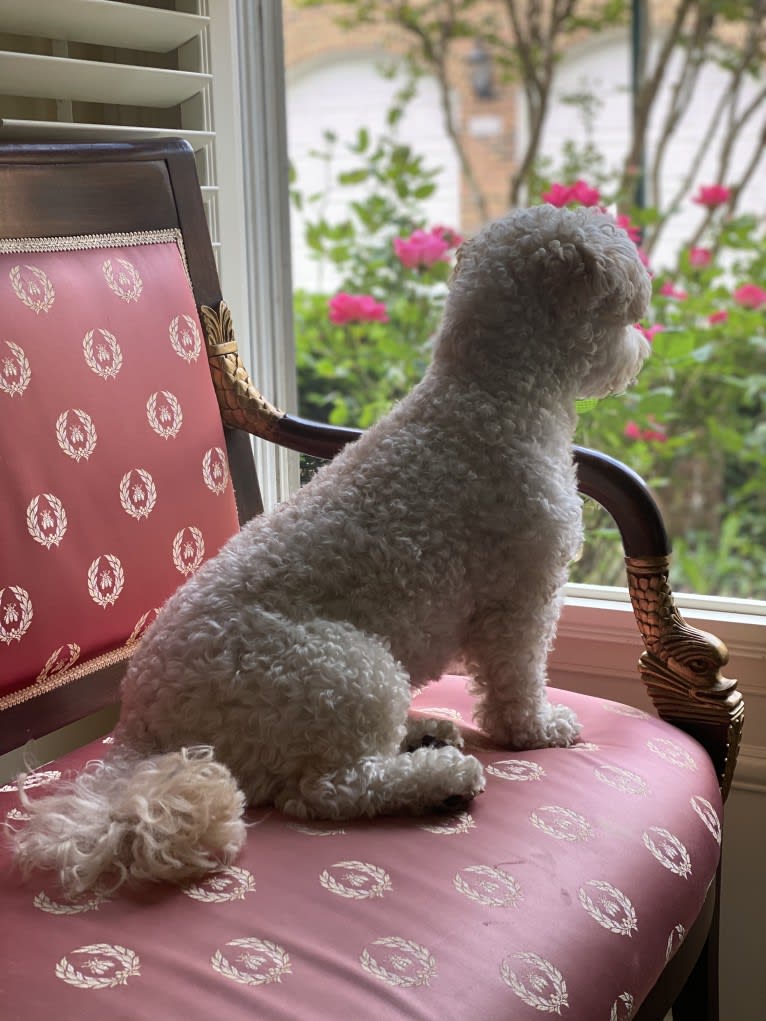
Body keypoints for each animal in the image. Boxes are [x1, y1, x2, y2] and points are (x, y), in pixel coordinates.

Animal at [12, 203, 649, 890]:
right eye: (626, 310)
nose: (642, 348)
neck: (489, 395)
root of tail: (140, 730)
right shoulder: (522, 598)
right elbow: (519, 680)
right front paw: (536, 730)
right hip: (346, 671)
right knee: (327, 791)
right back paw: (441, 780)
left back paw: (426, 731)